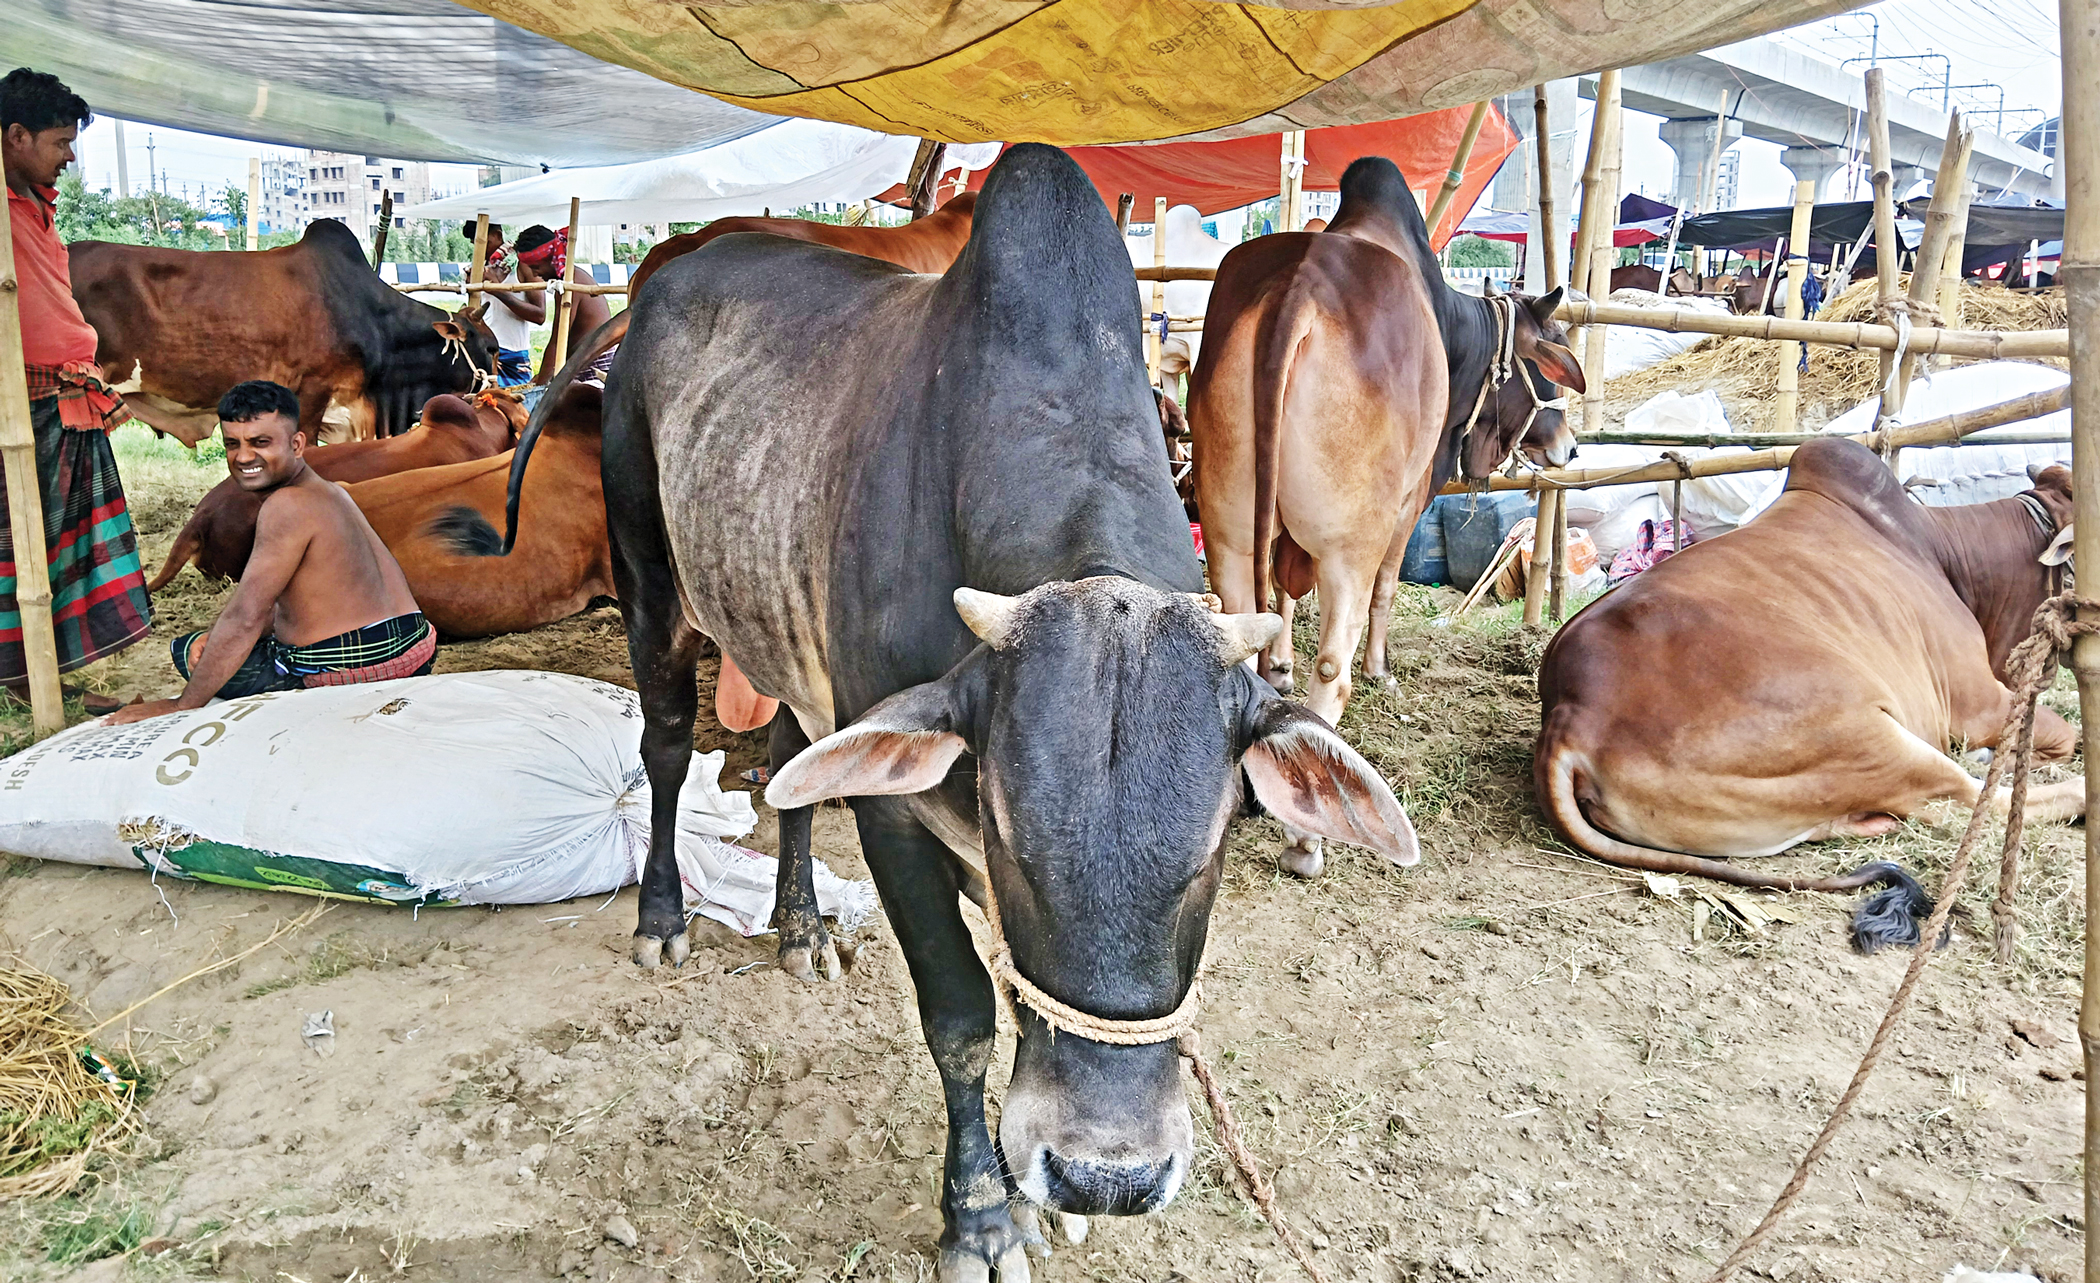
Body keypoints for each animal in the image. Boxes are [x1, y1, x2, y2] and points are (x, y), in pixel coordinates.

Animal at [505, 145, 1415, 1276]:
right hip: (653, 589)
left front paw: (1041, 1198)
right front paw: (982, 1213)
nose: (1107, 1176)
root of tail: (668, 276)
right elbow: (963, 1016)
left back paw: (801, 926)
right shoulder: (898, 821)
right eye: (1011, 837)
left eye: (1215, 844)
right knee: (668, 748)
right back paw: (664, 916)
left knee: (792, 760)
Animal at [1188, 157, 1583, 876]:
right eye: (1549, 369)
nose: (1570, 446)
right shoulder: (1409, 500)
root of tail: (1301, 286)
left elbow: (1282, 604)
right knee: (1333, 668)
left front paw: (1279, 667)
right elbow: (1387, 591)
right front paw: (1382, 669)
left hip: (1229, 523)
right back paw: (1307, 841)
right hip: (1351, 542)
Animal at [1536, 438, 2082, 950]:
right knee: (1974, 802)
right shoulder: (1977, 704)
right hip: (1874, 735)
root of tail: (1571, 714)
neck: (1950, 557)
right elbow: (2063, 735)